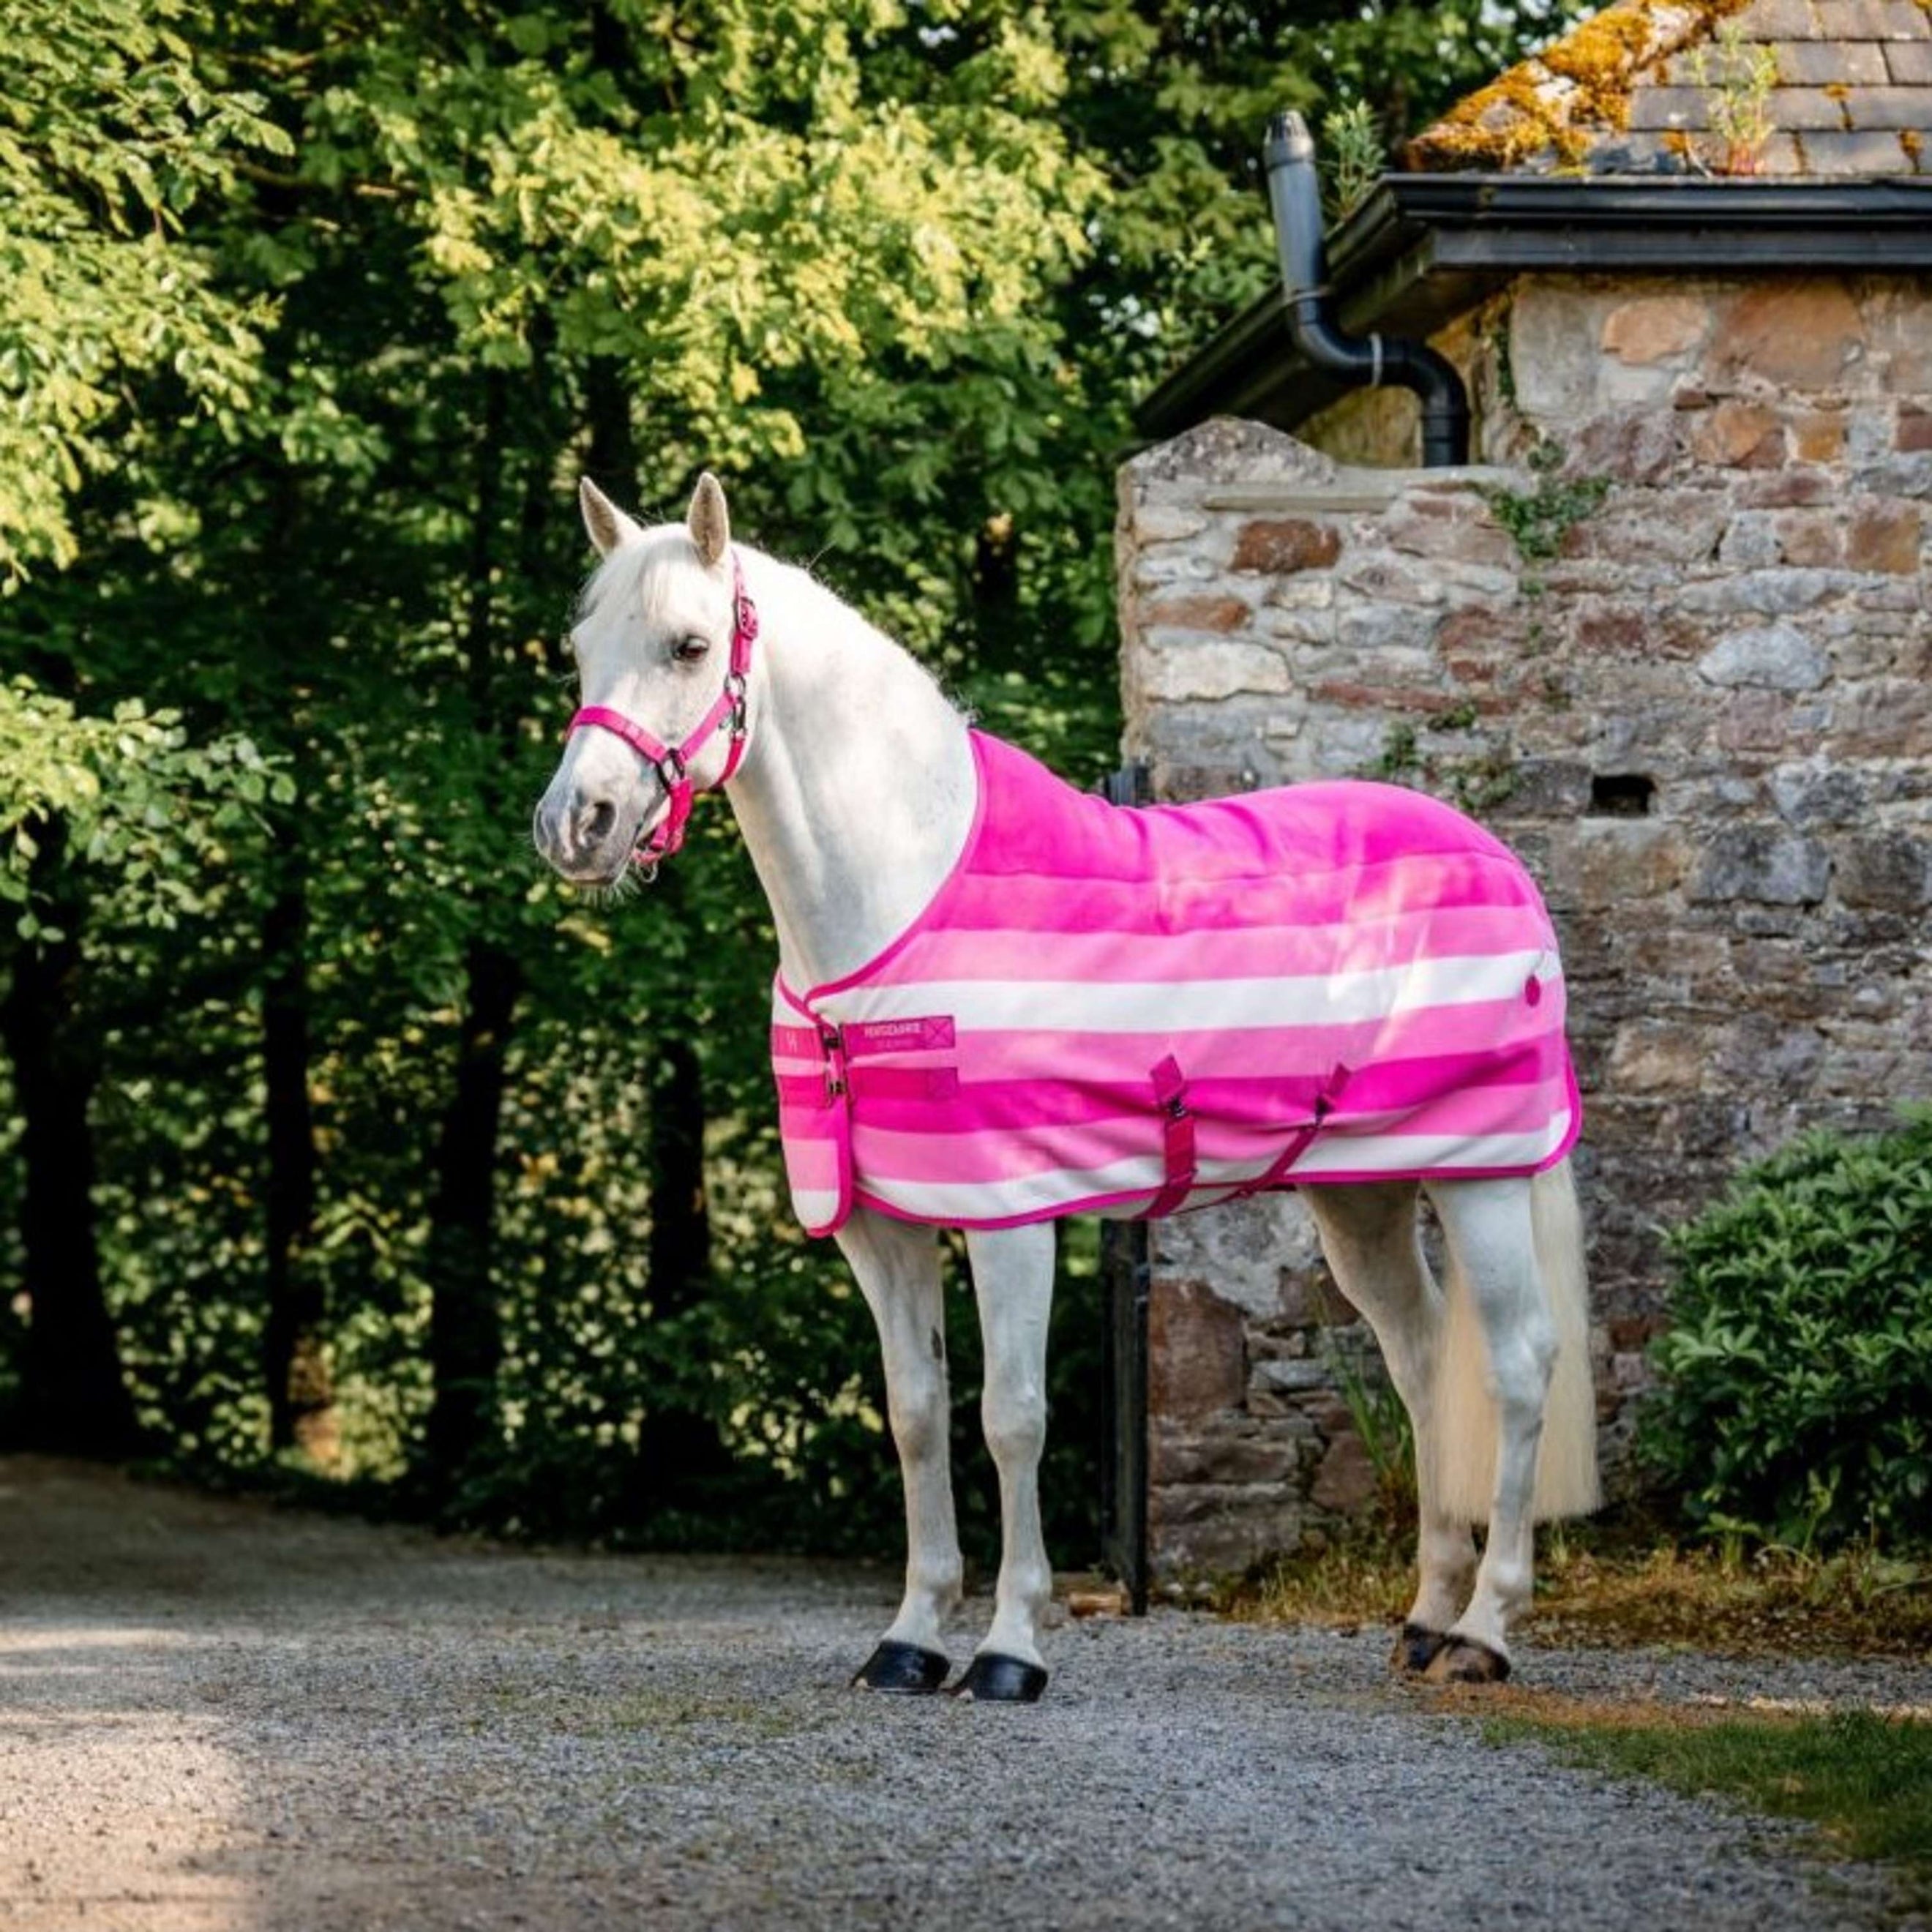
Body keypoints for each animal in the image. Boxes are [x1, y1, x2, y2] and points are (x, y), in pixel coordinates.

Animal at [533, 472, 1599, 1702]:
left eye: (689, 645)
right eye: (581, 648)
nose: (574, 825)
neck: (899, 897)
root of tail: (1497, 858)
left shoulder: (1012, 1218)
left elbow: (1013, 1419)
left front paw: (1009, 1649)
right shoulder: (882, 1228)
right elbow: (915, 1415)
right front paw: (909, 1640)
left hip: (1482, 1176)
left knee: (1516, 1366)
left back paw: (1484, 1631)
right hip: (1363, 1195)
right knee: (1422, 1359)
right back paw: (1425, 1616)